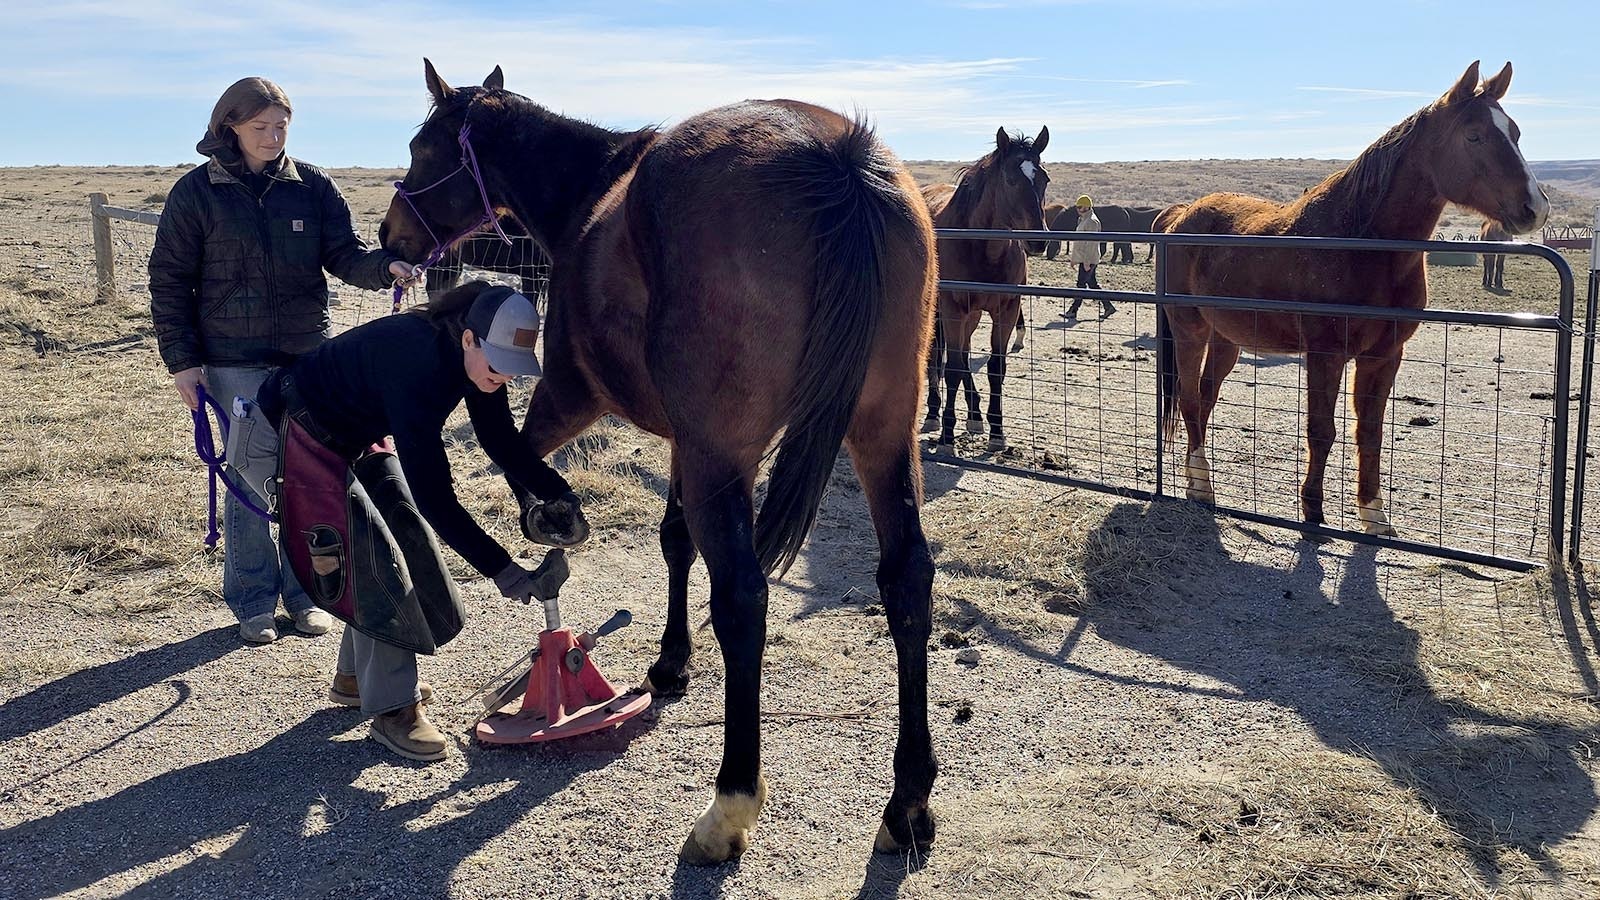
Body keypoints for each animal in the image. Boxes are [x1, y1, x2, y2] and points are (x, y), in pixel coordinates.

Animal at [379, 61, 939, 864]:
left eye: (423, 148)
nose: (388, 232)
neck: (589, 195)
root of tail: (836, 156)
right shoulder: (683, 441)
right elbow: (674, 542)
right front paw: (673, 660)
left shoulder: (573, 398)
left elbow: (518, 455)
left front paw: (551, 515)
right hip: (881, 437)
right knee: (906, 585)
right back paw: (908, 804)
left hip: (727, 454)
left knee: (742, 601)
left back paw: (729, 807)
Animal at [921, 127, 1051, 452]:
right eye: (1010, 179)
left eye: (1044, 178)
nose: (1039, 241)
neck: (983, 248)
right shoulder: (953, 309)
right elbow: (953, 368)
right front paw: (947, 436)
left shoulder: (1006, 309)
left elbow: (995, 368)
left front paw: (996, 431)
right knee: (938, 358)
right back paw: (933, 413)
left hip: (973, 315)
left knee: (964, 355)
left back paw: (975, 416)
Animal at [1155, 61, 1548, 536]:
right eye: (1473, 136)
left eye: (1515, 132)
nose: (1535, 208)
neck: (1361, 242)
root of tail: (1180, 214)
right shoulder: (1326, 353)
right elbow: (1322, 430)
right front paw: (1312, 511)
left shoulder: (1384, 355)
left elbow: (1370, 432)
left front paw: (1374, 514)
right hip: (1190, 330)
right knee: (1190, 399)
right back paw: (1202, 488)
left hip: (1226, 338)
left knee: (1205, 397)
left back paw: (1200, 481)